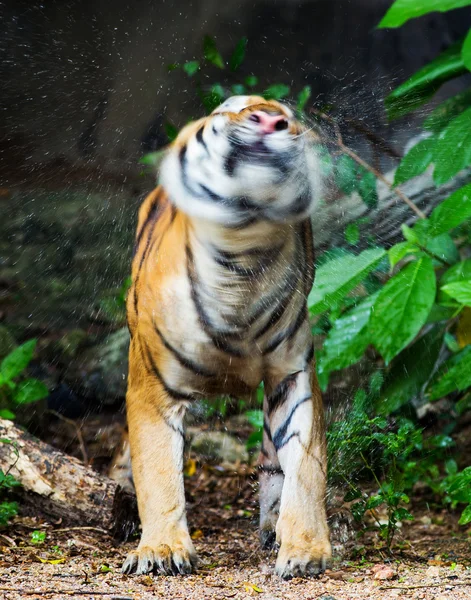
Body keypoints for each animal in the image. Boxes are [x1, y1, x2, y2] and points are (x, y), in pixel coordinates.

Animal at [111, 96, 332, 580]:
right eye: (230, 109)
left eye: (287, 115)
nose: (270, 120)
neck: (242, 257)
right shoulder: (152, 390)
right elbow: (157, 468)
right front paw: (161, 549)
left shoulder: (293, 374)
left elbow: (306, 463)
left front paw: (306, 548)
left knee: (272, 458)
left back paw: (273, 527)